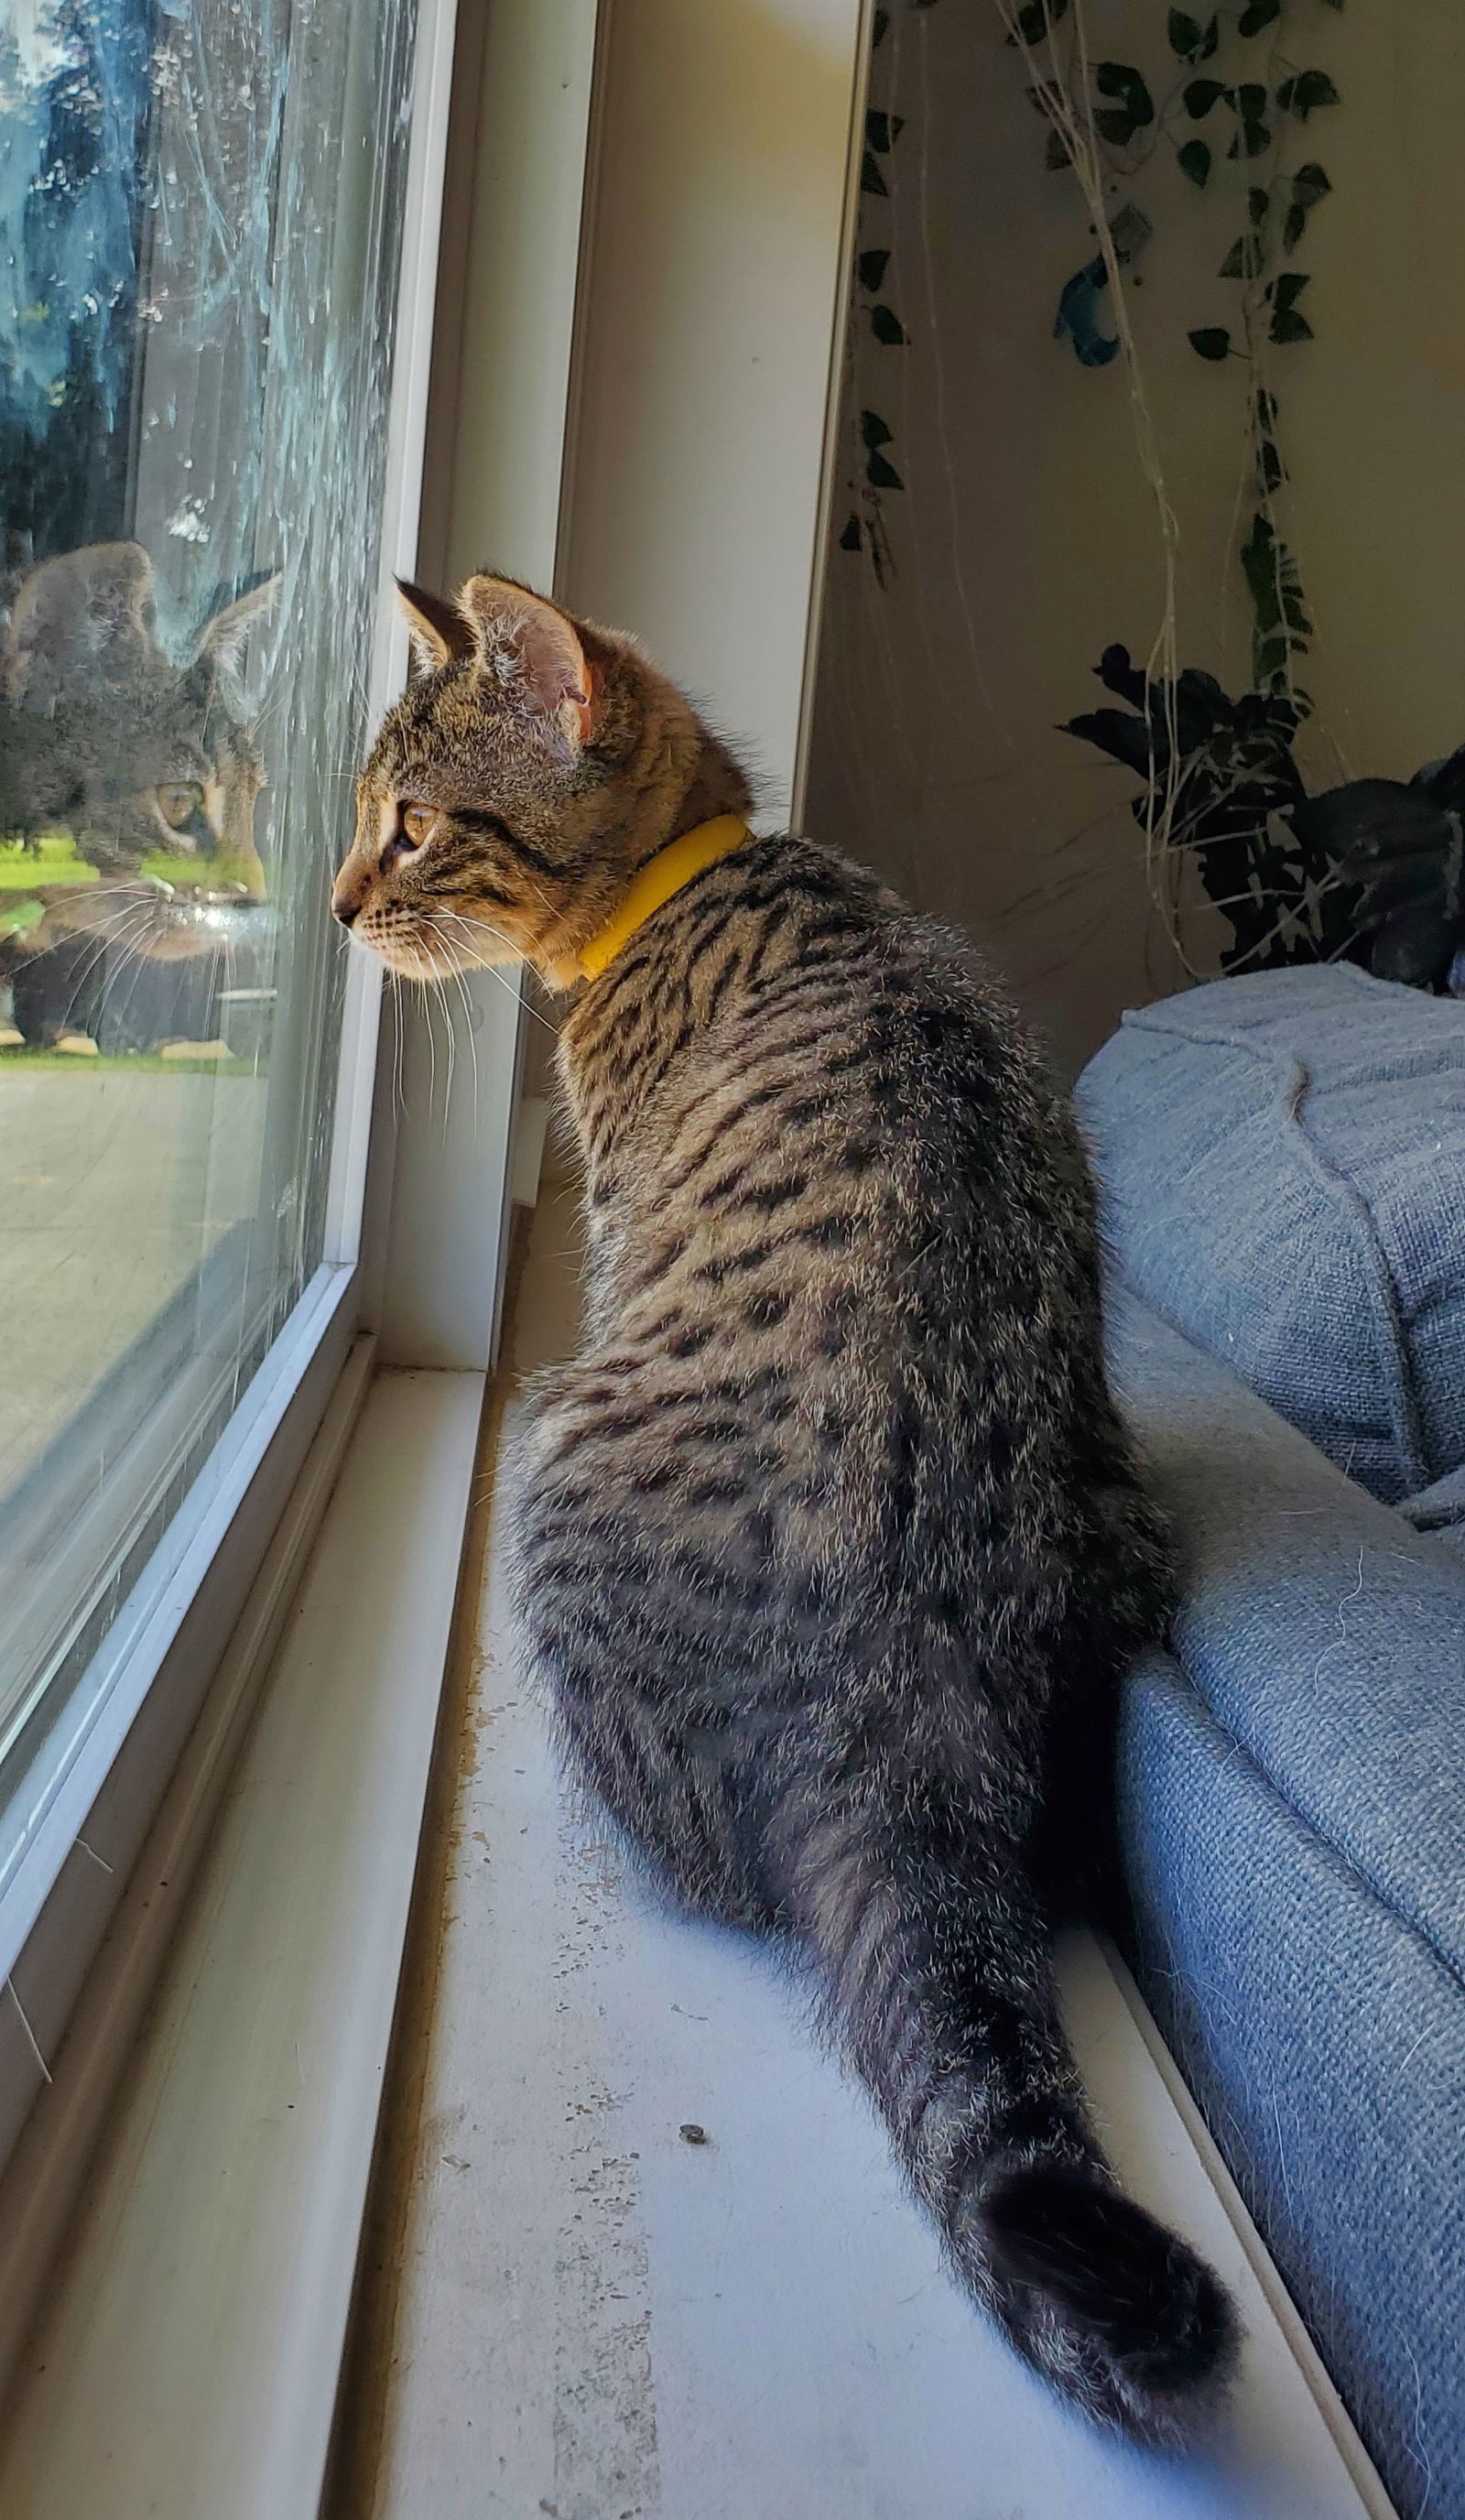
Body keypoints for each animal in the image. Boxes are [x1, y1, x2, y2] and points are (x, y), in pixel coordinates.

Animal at [340, 571, 1235, 2439]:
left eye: (412, 824)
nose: (335, 904)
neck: (693, 873)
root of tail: (913, 1714)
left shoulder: (614, 1231)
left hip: (560, 1436)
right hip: (1118, 1504)